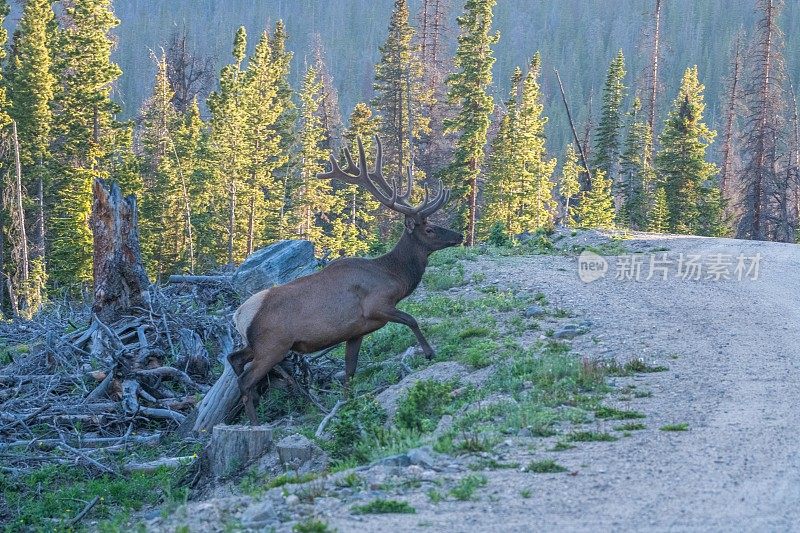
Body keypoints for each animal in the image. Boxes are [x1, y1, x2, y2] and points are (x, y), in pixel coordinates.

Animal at [228, 136, 462, 424]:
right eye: (429, 229)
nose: (459, 235)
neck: (395, 278)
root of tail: (239, 315)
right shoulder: (376, 306)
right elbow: (412, 319)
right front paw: (429, 353)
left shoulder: (356, 330)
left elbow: (350, 369)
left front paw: (346, 403)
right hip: (273, 344)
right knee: (245, 379)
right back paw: (254, 423)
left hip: (258, 344)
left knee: (235, 359)